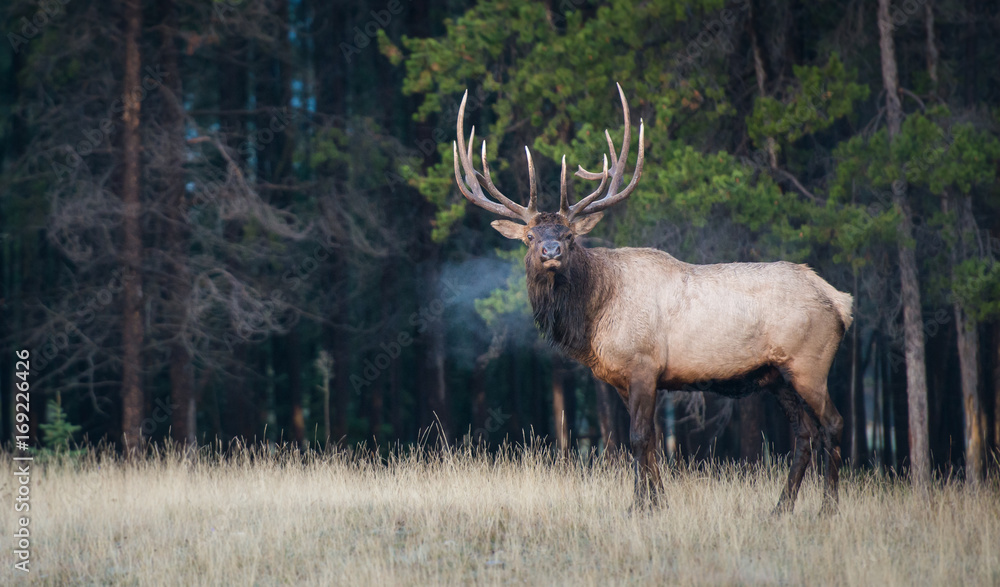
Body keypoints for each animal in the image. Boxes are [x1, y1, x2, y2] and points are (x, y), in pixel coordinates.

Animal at [454, 84, 852, 516]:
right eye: (529, 236)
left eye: (570, 235)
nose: (551, 251)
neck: (593, 316)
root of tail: (840, 302)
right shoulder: (620, 379)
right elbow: (652, 443)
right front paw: (657, 501)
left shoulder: (644, 364)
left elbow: (639, 438)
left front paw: (640, 505)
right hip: (777, 374)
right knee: (805, 432)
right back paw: (781, 507)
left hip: (809, 362)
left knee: (832, 423)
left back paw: (828, 507)